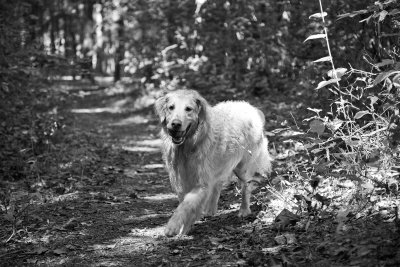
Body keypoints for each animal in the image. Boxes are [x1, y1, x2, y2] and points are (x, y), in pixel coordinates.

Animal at [154, 90, 272, 239]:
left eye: (188, 109)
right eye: (171, 107)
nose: (175, 124)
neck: (189, 144)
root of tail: (252, 108)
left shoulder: (201, 182)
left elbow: (186, 204)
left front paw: (173, 226)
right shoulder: (181, 180)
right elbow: (185, 203)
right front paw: (184, 228)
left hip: (243, 168)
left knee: (246, 186)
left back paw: (244, 210)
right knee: (218, 183)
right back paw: (211, 209)